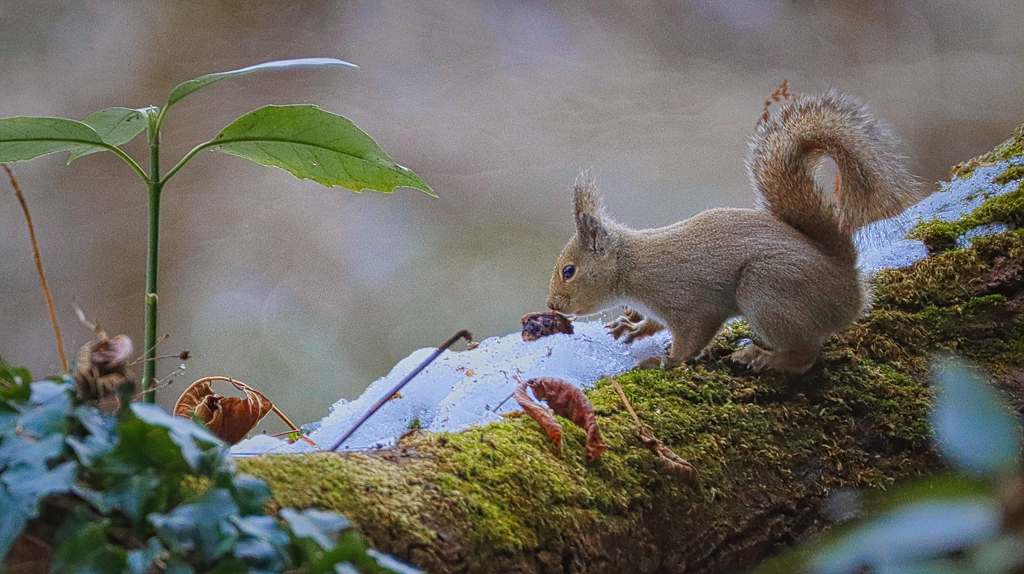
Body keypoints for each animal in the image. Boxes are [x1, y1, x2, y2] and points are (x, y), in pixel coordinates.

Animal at [548, 89, 925, 372]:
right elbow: (654, 323)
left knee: (804, 355)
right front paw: (635, 327)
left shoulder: (689, 301)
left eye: (569, 271)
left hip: (766, 289)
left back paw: (763, 358)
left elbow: (692, 336)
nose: (552, 305)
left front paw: (665, 360)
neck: (633, 266)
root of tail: (848, 280)